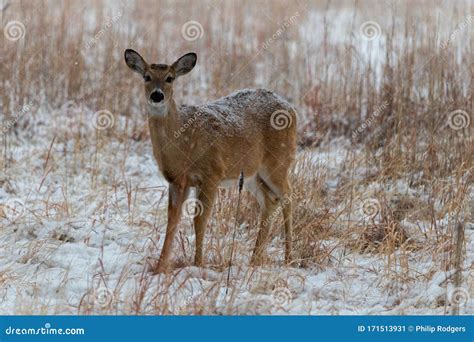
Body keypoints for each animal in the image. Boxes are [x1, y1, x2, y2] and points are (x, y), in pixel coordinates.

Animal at [125, 48, 296, 272]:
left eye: (170, 78)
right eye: (147, 77)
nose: (157, 95)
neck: (182, 144)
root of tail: (291, 108)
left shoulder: (212, 173)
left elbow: (200, 220)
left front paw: (198, 263)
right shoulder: (177, 180)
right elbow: (172, 220)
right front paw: (160, 267)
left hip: (278, 162)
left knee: (288, 196)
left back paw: (288, 257)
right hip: (252, 174)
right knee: (269, 200)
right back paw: (254, 259)